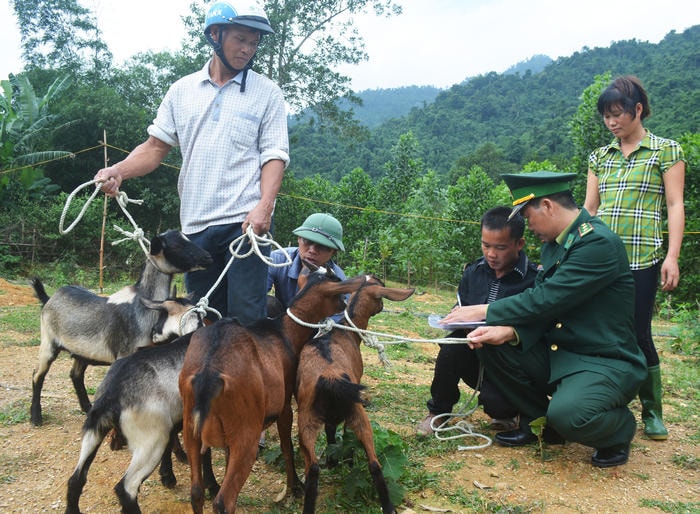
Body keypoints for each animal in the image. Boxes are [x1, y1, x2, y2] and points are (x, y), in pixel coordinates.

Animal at [30, 229, 211, 424]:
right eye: (176, 245)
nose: (208, 257)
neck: (141, 306)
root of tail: (49, 298)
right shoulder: (125, 353)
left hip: (81, 352)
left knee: (75, 375)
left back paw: (86, 408)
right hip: (48, 341)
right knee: (37, 374)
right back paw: (35, 417)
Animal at [178, 264, 366, 512]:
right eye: (337, 286)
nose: (345, 305)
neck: (285, 332)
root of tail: (207, 375)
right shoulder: (284, 404)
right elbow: (287, 445)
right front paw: (295, 487)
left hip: (191, 427)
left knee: (196, 492)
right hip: (246, 432)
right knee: (223, 502)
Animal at [296, 276, 416, 512]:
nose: (382, 307)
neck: (344, 332)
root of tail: (331, 377)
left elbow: (331, 430)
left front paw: (334, 460)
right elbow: (342, 434)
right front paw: (345, 460)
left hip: (308, 420)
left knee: (320, 467)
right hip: (354, 413)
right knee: (367, 462)